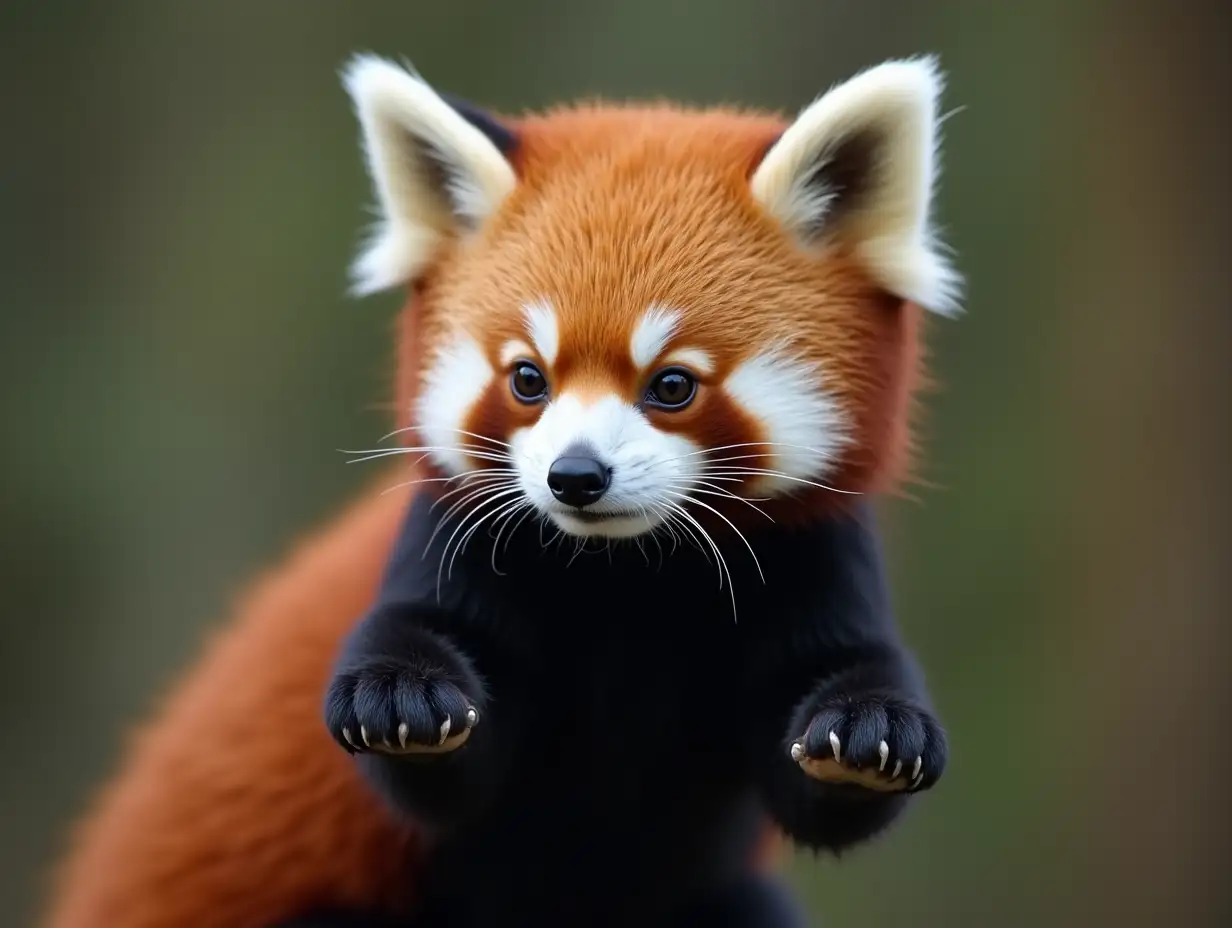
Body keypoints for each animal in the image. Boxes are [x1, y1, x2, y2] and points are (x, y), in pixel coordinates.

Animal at [40, 52, 960, 926]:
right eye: (528, 378)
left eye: (671, 385)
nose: (576, 476)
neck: (630, 576)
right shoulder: (459, 540)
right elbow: (430, 762)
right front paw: (401, 697)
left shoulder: (811, 559)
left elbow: (824, 779)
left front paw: (869, 730)